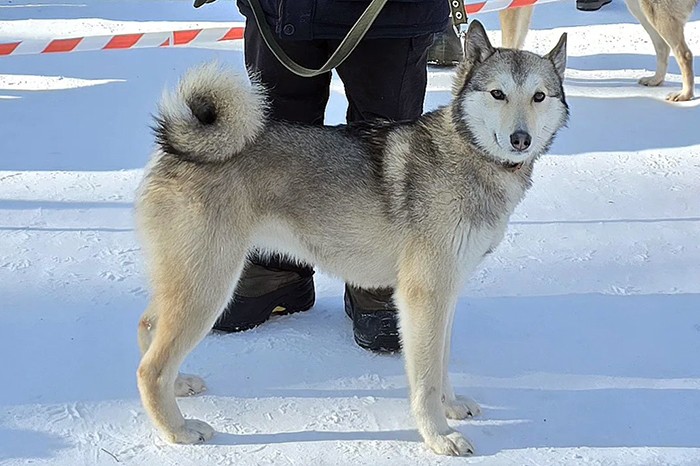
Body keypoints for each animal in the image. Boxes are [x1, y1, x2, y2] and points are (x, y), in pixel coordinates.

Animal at [134, 20, 568, 456]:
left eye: (539, 96)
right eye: (497, 93)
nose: (520, 139)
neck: (467, 154)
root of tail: (176, 148)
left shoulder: (445, 294)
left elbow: (442, 365)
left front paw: (452, 406)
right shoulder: (425, 297)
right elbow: (426, 380)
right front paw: (437, 435)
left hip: (185, 281)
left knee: (148, 327)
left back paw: (180, 385)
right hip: (208, 287)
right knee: (150, 369)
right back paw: (177, 430)